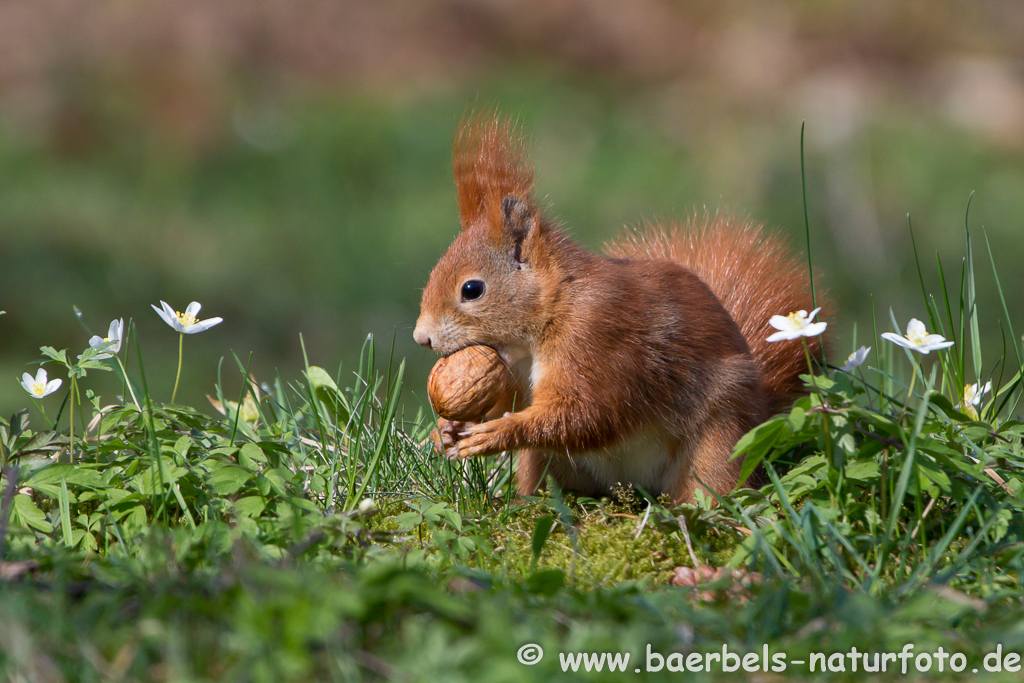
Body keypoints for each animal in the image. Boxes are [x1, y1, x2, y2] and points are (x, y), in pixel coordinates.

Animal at [411, 114, 819, 505]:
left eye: (472, 289)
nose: (421, 338)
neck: (554, 308)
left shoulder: (598, 338)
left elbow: (587, 414)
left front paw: (499, 432)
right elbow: (514, 400)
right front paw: (444, 431)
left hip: (719, 444)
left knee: (713, 485)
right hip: (548, 467)